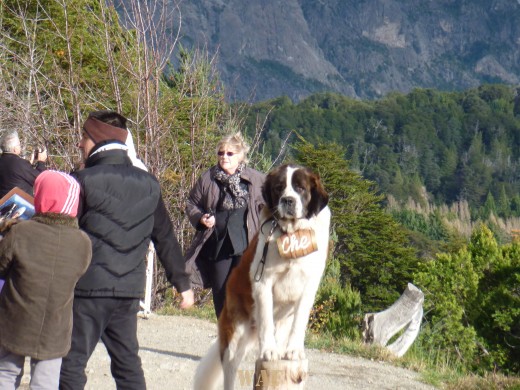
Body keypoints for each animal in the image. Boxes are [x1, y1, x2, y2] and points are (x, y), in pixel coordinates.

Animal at [193, 163, 332, 388]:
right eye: (279, 188)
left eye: (300, 188)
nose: (288, 200)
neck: (292, 234)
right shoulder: (263, 282)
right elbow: (266, 317)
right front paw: (269, 351)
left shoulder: (309, 285)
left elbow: (300, 321)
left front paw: (294, 351)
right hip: (236, 330)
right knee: (230, 366)